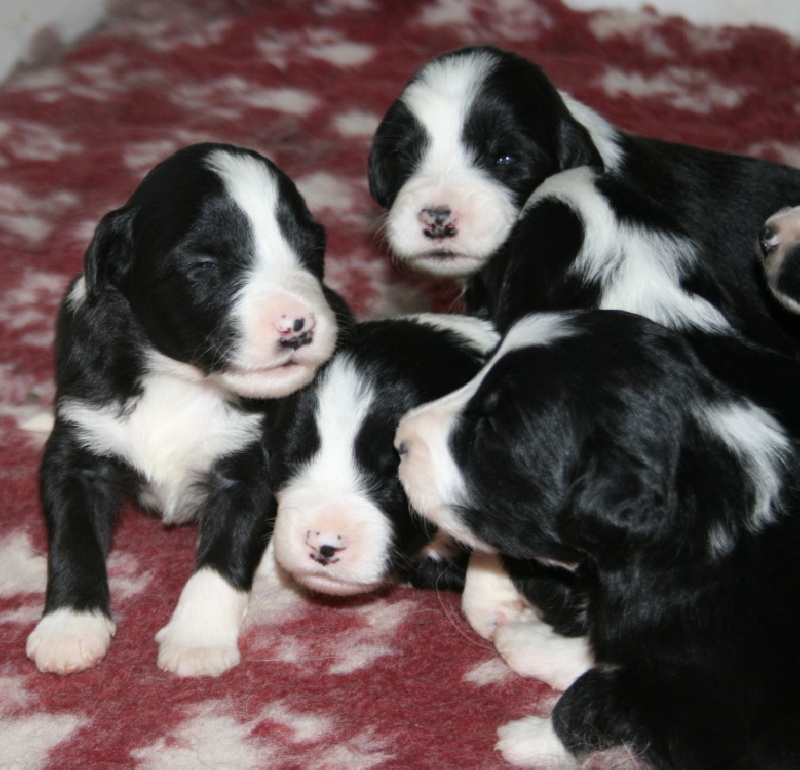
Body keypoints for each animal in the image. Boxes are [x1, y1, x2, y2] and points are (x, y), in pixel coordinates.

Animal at [396, 308, 800, 764]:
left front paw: (528, 739)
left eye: (489, 430)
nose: (399, 440)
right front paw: (532, 641)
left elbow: (597, 695)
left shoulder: (696, 695)